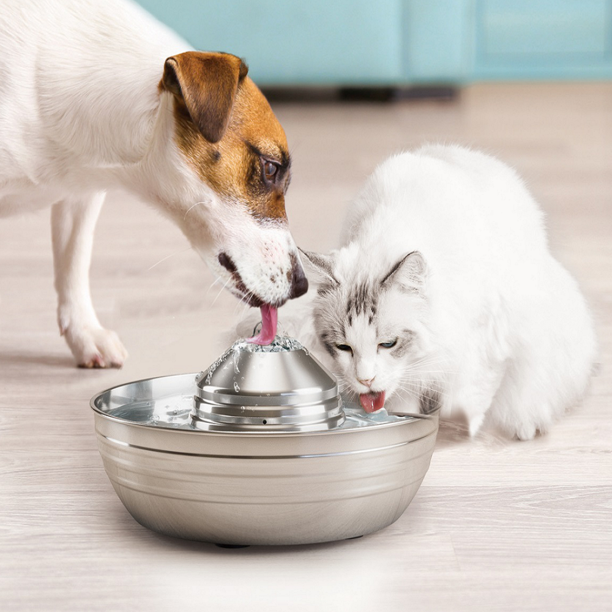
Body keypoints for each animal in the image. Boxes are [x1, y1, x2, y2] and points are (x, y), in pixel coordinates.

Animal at [237, 143, 596, 440]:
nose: (365, 380)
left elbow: (475, 393)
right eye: (343, 347)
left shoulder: (484, 340)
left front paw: (465, 425)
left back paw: (526, 426)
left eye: (388, 344)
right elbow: (402, 401)